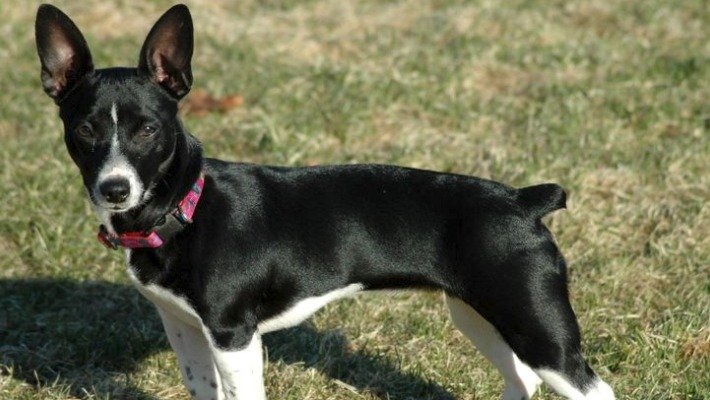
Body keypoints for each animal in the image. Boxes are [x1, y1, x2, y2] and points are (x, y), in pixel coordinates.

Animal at [36, 3, 616, 400]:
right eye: (85, 130)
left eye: (149, 130)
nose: (115, 188)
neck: (187, 208)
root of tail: (524, 201)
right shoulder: (184, 329)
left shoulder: (234, 338)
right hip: (479, 314)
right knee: (522, 380)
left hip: (538, 329)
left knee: (591, 389)